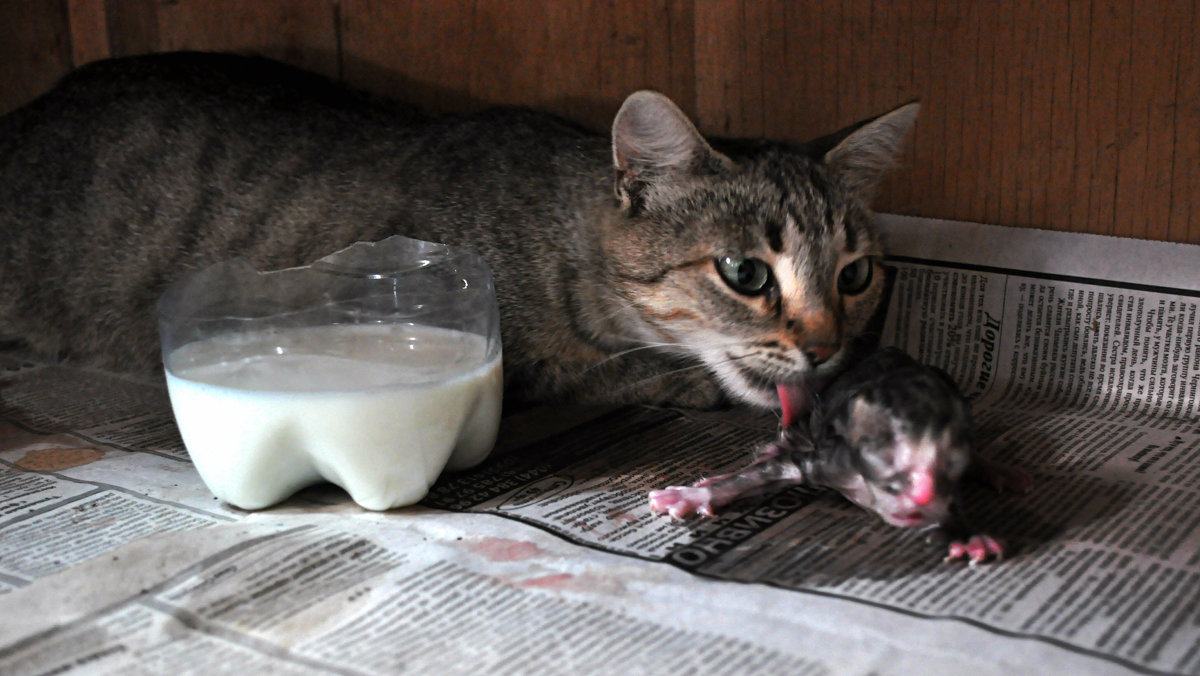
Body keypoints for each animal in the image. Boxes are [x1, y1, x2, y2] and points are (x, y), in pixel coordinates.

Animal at [652, 348, 1036, 566]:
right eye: (882, 453)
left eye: (949, 467)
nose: (923, 497)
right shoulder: (831, 460)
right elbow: (760, 474)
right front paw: (690, 495)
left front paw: (968, 535)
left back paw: (996, 470)